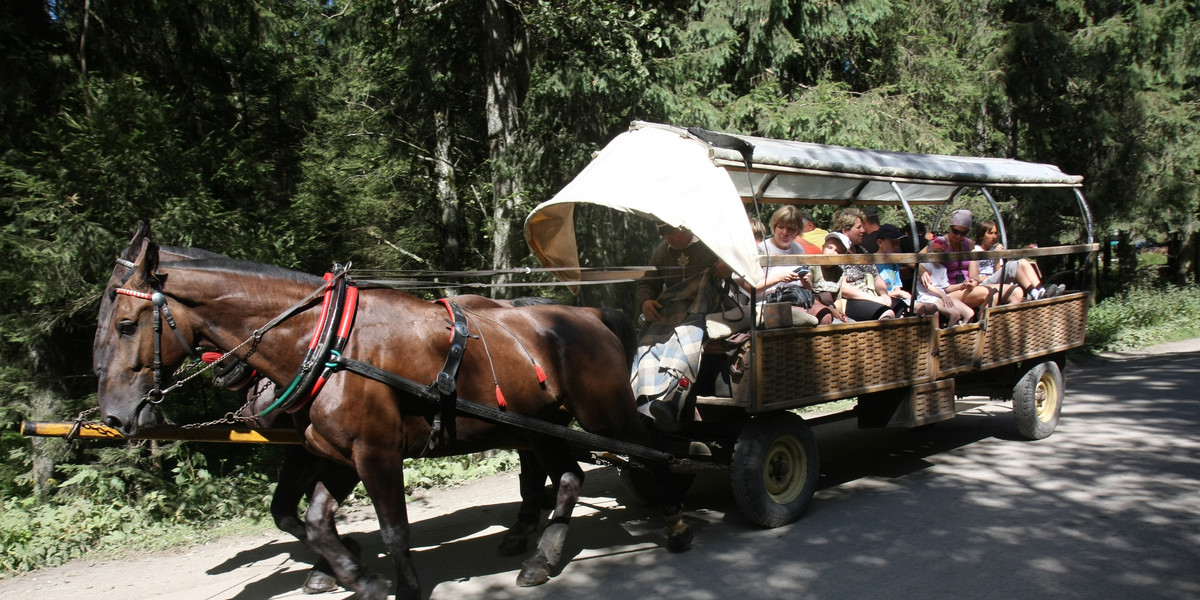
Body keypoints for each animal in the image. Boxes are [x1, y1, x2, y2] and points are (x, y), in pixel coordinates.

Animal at [96, 236, 696, 597]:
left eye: (125, 324)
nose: (116, 416)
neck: (326, 343)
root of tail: (587, 312)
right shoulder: (335, 454)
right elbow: (312, 520)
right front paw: (352, 574)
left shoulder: (376, 453)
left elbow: (393, 527)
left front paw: (396, 583)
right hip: (537, 423)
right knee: (566, 477)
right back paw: (539, 554)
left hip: (605, 413)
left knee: (653, 454)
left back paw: (675, 523)